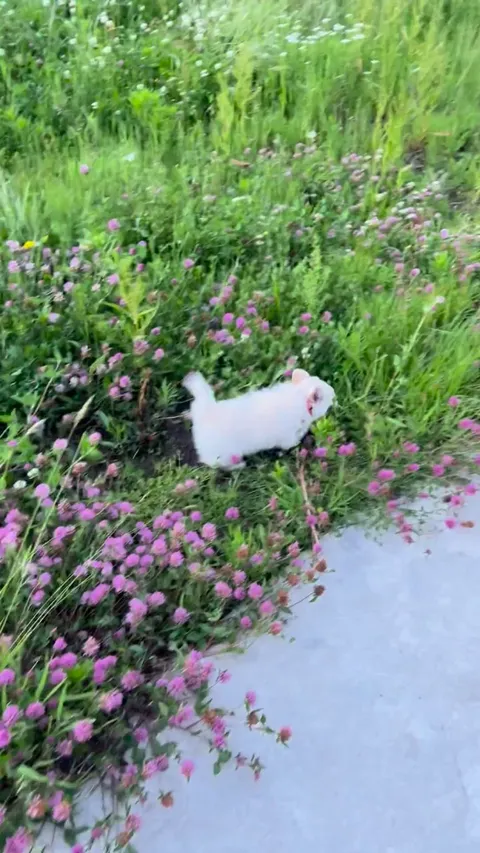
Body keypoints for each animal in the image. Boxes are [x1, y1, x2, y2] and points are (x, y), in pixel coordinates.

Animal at [183, 367, 335, 469]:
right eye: (327, 396)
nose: (334, 391)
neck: (298, 396)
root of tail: (205, 414)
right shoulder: (288, 437)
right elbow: (292, 443)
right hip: (225, 456)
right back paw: (239, 465)